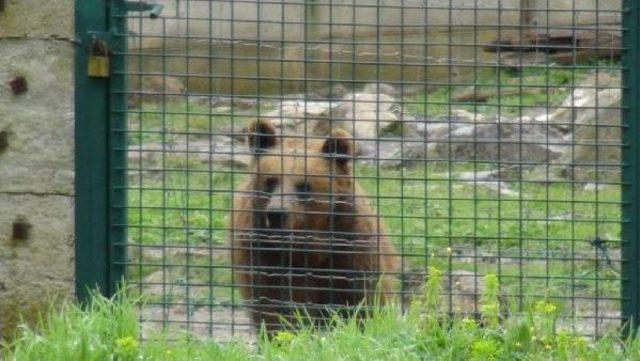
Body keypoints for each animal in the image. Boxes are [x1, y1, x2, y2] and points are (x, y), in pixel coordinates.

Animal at [232, 119, 398, 334]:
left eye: (303, 185)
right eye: (271, 181)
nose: (276, 213)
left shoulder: (351, 247)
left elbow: (362, 301)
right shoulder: (264, 255)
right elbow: (276, 306)